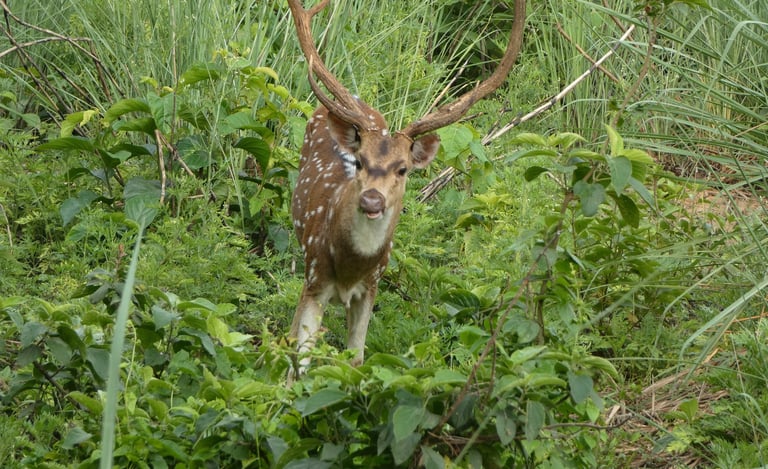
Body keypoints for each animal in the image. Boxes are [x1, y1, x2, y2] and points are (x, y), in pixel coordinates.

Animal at [286, 0, 526, 378]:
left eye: (402, 169)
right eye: (359, 162)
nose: (372, 199)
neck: (350, 268)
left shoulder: (372, 286)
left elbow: (356, 359)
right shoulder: (315, 275)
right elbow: (301, 362)